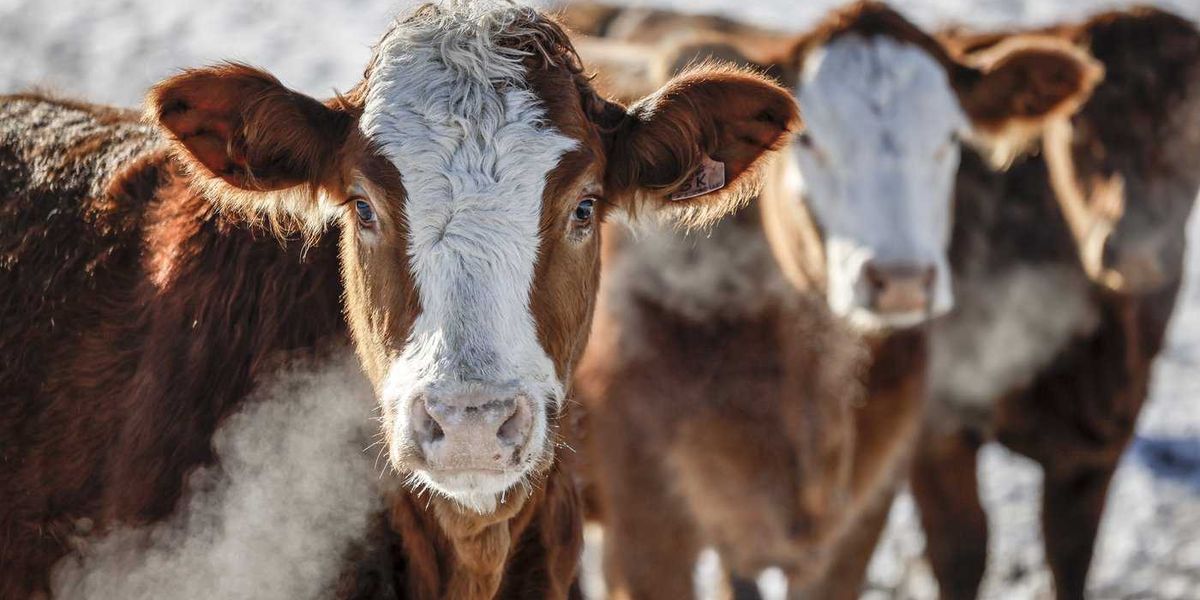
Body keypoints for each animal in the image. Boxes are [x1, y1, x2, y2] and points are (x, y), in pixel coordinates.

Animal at [914, 9, 1200, 600]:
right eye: (1075, 124)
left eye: (1194, 120)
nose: (1135, 246)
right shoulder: (937, 428)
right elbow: (962, 554)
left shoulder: (1096, 448)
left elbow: (1069, 554)